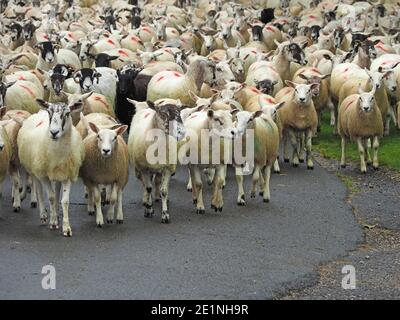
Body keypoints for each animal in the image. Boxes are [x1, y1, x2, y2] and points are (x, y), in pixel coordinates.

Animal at [18, 99, 86, 236]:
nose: (54, 132)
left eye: (68, 113)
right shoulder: (44, 175)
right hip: (35, 169)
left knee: (57, 189)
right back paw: (44, 215)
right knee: (39, 190)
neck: (58, 153)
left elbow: (64, 200)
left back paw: (57, 214)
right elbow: (51, 197)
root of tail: (39, 112)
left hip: (58, 172)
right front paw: (53, 222)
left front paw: (66, 227)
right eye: (49, 112)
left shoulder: (67, 174)